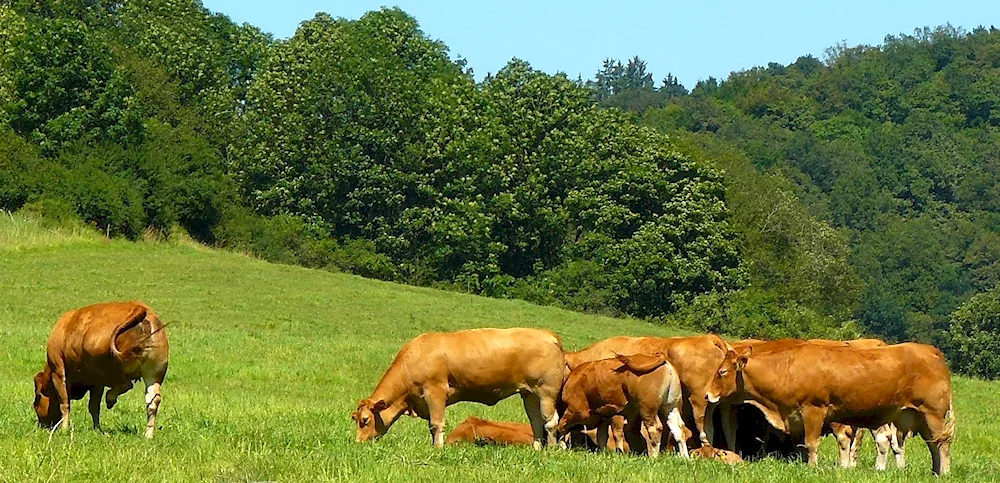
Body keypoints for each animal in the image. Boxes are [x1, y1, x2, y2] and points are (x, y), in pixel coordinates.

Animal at [32, 302, 170, 438]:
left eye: (37, 399)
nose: (42, 425)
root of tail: (140, 308)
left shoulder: (58, 372)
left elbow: (65, 403)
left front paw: (64, 429)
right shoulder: (97, 384)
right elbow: (94, 407)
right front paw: (97, 429)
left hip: (107, 367)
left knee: (126, 384)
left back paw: (110, 398)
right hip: (153, 373)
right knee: (152, 400)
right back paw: (148, 435)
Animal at [352, 328, 568, 450]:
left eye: (365, 420)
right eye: (355, 418)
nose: (358, 443)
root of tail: (549, 335)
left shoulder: (435, 391)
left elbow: (436, 424)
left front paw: (438, 449)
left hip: (546, 392)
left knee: (550, 422)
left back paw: (552, 449)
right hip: (529, 394)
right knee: (536, 421)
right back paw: (537, 448)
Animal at [556, 352, 688, 458]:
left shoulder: (576, 411)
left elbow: (561, 426)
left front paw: (561, 446)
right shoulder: (604, 417)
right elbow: (602, 435)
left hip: (647, 408)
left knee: (655, 429)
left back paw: (653, 457)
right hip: (671, 406)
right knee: (678, 429)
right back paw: (684, 457)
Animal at [704, 344, 952, 476]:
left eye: (722, 372)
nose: (707, 394)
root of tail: (930, 350)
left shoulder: (813, 410)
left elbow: (811, 443)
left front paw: (812, 468)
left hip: (933, 414)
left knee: (942, 444)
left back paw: (945, 472)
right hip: (920, 417)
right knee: (932, 445)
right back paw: (935, 472)